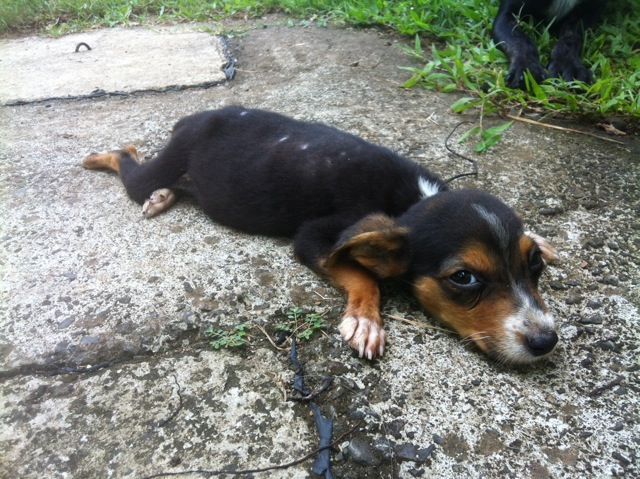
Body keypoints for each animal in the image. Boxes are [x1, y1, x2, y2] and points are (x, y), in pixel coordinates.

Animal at [81, 107, 560, 366]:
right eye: (464, 278)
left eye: (533, 265)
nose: (546, 342)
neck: (411, 201)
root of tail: (197, 116)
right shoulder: (313, 238)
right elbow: (362, 275)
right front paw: (366, 321)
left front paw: (542, 239)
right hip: (162, 163)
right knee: (127, 159)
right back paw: (102, 159)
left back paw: (163, 195)